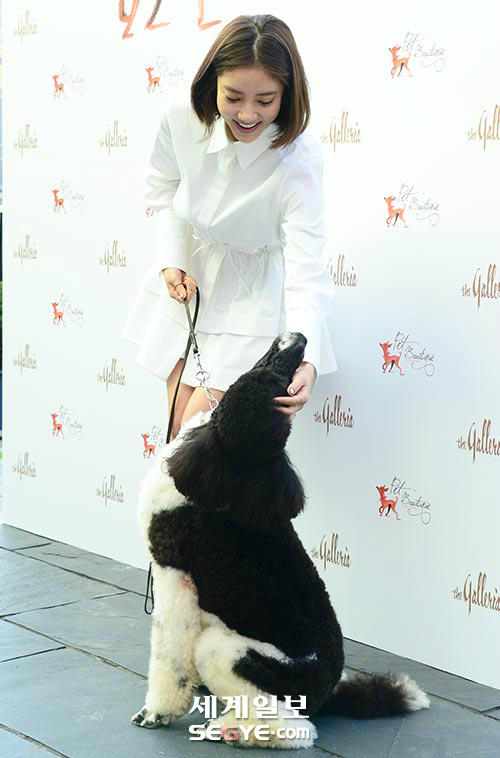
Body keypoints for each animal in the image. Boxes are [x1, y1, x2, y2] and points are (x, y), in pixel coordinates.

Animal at [131, 331, 430, 749]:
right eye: (275, 386)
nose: (300, 339)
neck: (223, 472)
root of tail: (325, 696)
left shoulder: (174, 576)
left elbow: (169, 655)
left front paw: (156, 712)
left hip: (229, 652)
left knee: (294, 728)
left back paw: (229, 729)